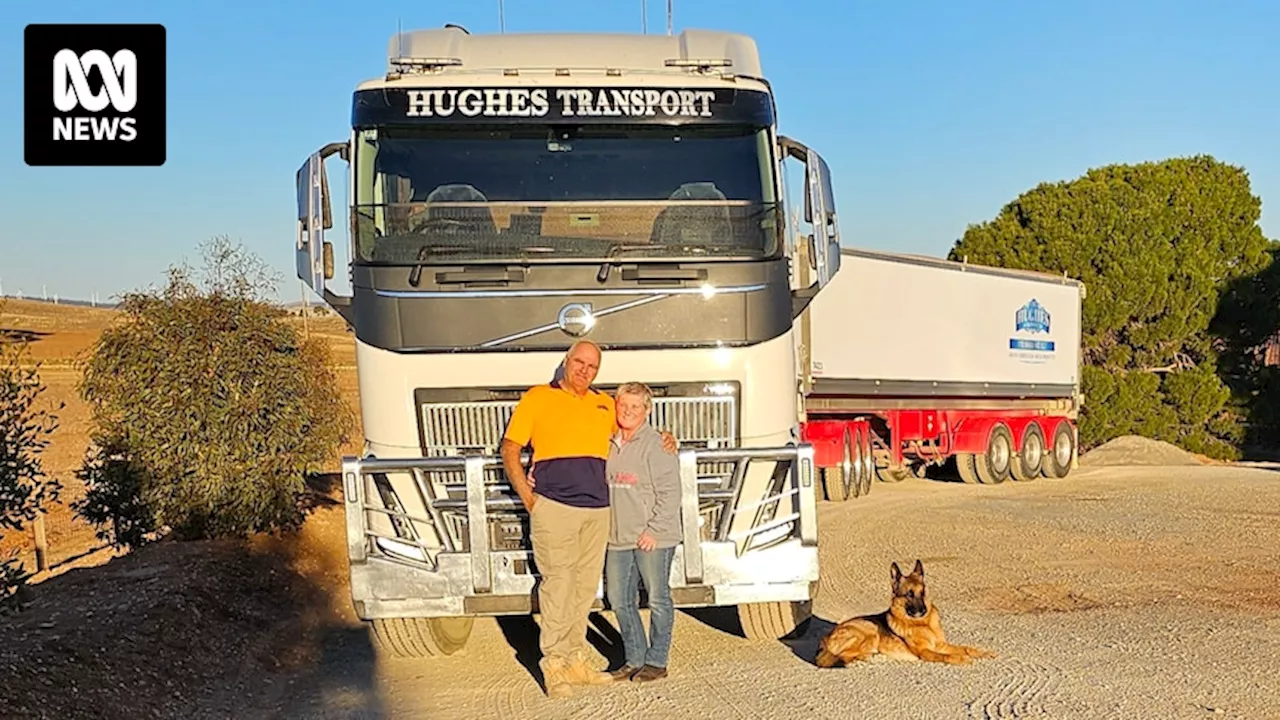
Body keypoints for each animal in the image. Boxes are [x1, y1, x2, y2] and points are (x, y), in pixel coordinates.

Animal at [814, 558, 993, 666]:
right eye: (909, 594)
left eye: (922, 592)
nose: (923, 610)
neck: (922, 623)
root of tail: (824, 639)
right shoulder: (925, 652)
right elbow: (945, 656)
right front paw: (959, 658)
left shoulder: (941, 645)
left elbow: (966, 648)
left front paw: (983, 652)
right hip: (870, 631)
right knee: (843, 656)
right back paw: (868, 657)